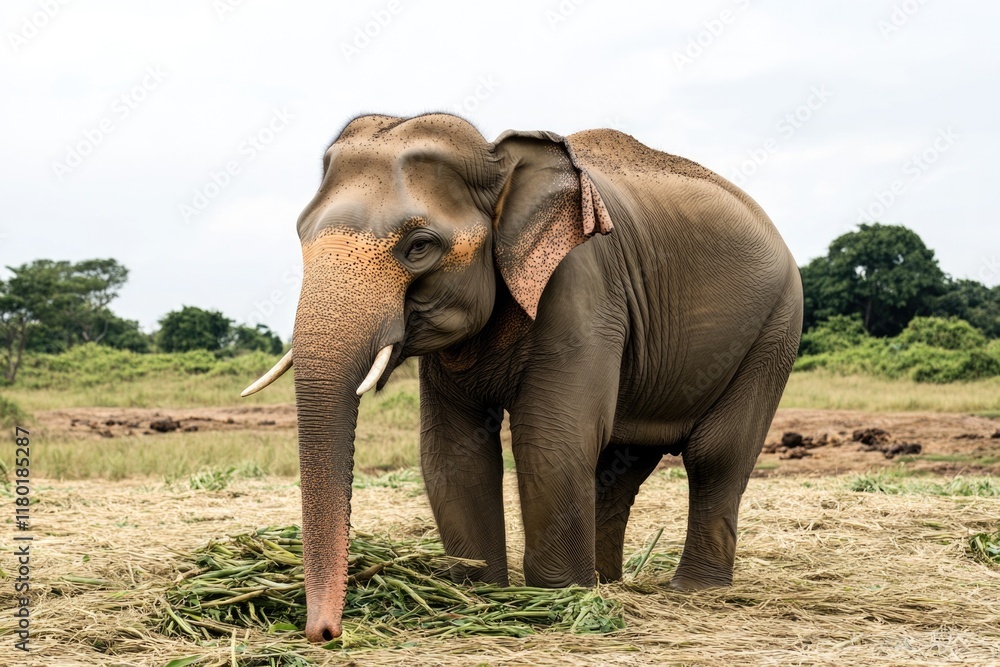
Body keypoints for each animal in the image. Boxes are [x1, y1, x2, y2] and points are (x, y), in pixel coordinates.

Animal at [243, 113, 803, 642]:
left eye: (419, 246)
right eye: (300, 234)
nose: (325, 633)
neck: (501, 161)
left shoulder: (582, 286)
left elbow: (551, 440)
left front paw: (556, 601)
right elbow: (452, 450)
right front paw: (480, 594)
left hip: (777, 327)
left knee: (716, 453)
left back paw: (690, 590)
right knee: (622, 461)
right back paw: (608, 583)